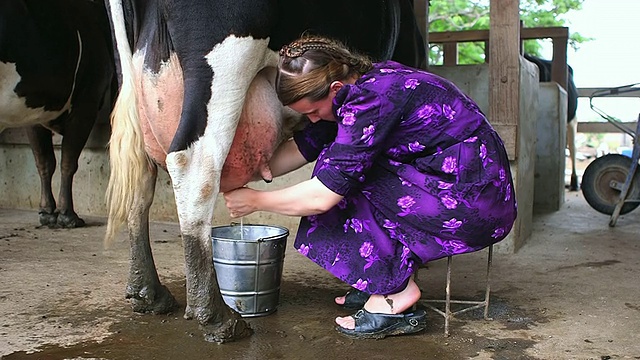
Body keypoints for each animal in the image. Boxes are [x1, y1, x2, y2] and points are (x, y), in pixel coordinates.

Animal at [0, 0, 117, 226]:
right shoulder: (86, 102)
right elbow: (68, 161)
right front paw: (67, 214)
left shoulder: (33, 111)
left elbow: (44, 161)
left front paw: (47, 211)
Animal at [105, 0, 424, 344]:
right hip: (225, 61)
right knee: (194, 165)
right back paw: (218, 318)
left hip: (132, 80)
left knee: (139, 173)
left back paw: (149, 294)